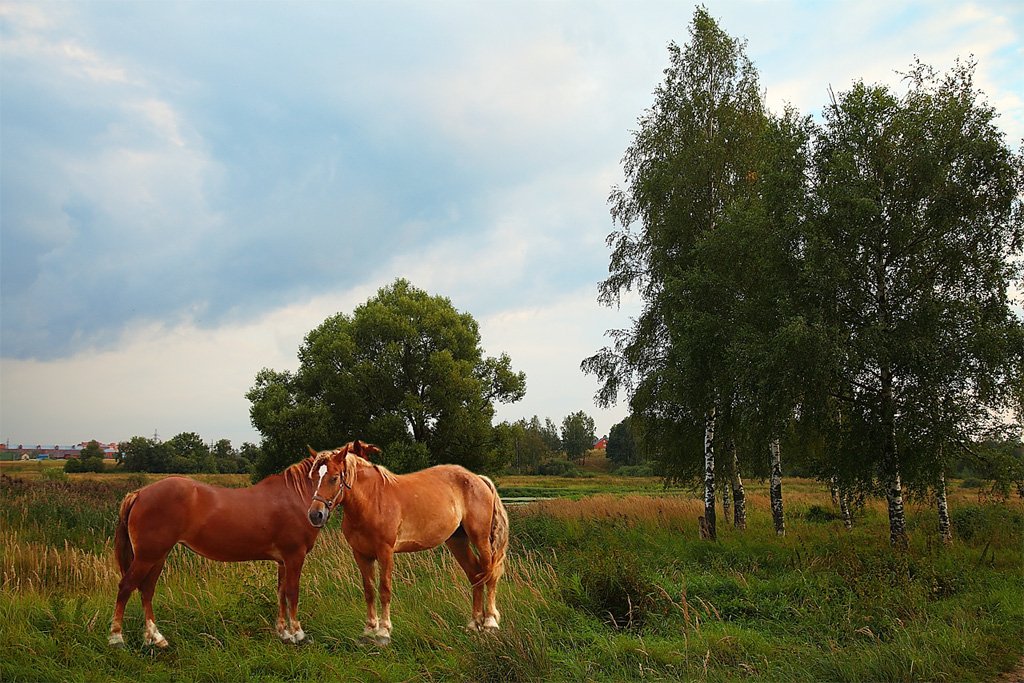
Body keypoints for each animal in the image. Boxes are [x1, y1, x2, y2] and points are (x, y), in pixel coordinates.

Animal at [110, 456, 321, 651]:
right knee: (126, 587)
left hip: (157, 557)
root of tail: (139, 494)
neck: (295, 496)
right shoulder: (294, 556)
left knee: (146, 590)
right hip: (147, 557)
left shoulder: (283, 561)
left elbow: (281, 593)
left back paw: (155, 638)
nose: (318, 515)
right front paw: (299, 635)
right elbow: (292, 593)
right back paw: (117, 639)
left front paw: (285, 634)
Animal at [305, 440, 509, 643]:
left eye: (334, 478)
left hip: (480, 539)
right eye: (314, 477)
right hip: (457, 541)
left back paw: (490, 623)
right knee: (475, 575)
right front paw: (369, 629)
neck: (372, 500)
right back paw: (474, 624)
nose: (315, 515)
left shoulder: (385, 553)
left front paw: (383, 632)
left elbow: (384, 589)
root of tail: (478, 479)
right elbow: (369, 591)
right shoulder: (361, 554)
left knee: (489, 574)